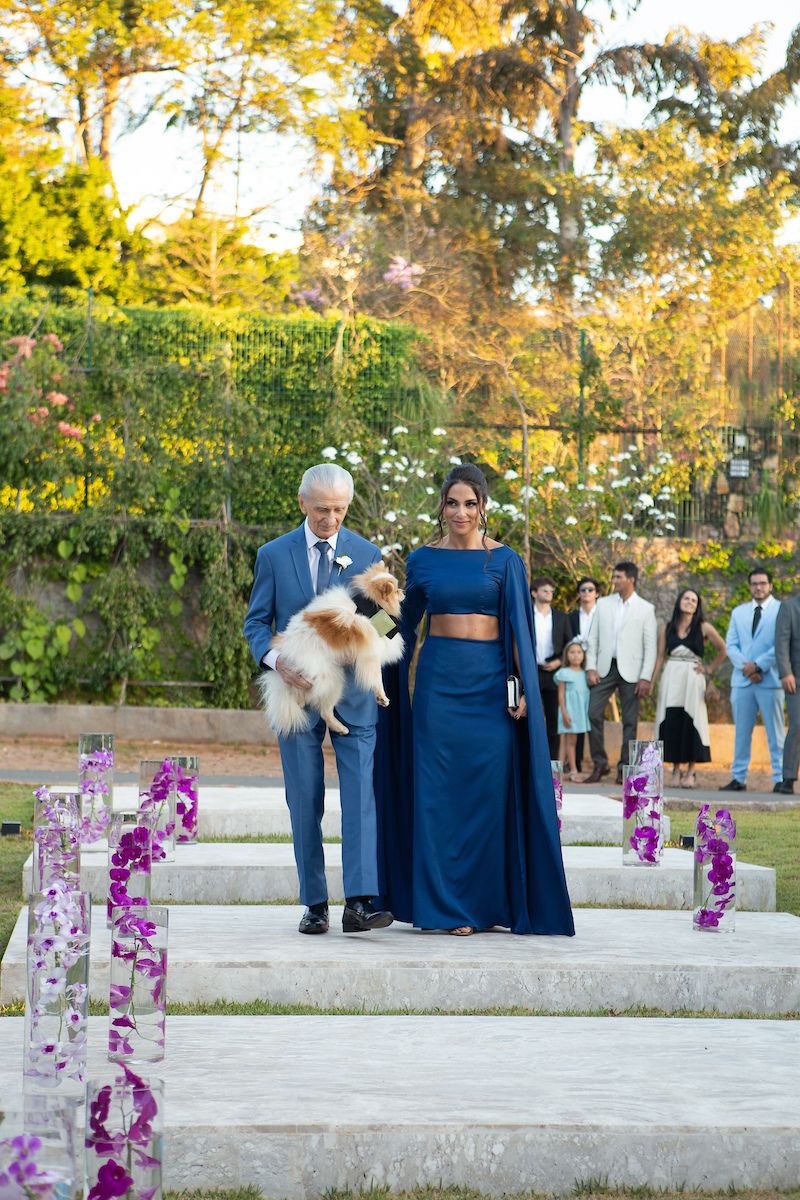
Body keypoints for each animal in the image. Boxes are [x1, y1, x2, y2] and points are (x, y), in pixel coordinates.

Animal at [257, 556, 407, 734]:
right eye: (396, 590)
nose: (403, 592)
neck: (369, 607)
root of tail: (287, 654)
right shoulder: (371, 653)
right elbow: (377, 678)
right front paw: (382, 697)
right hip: (331, 678)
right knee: (321, 709)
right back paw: (340, 727)